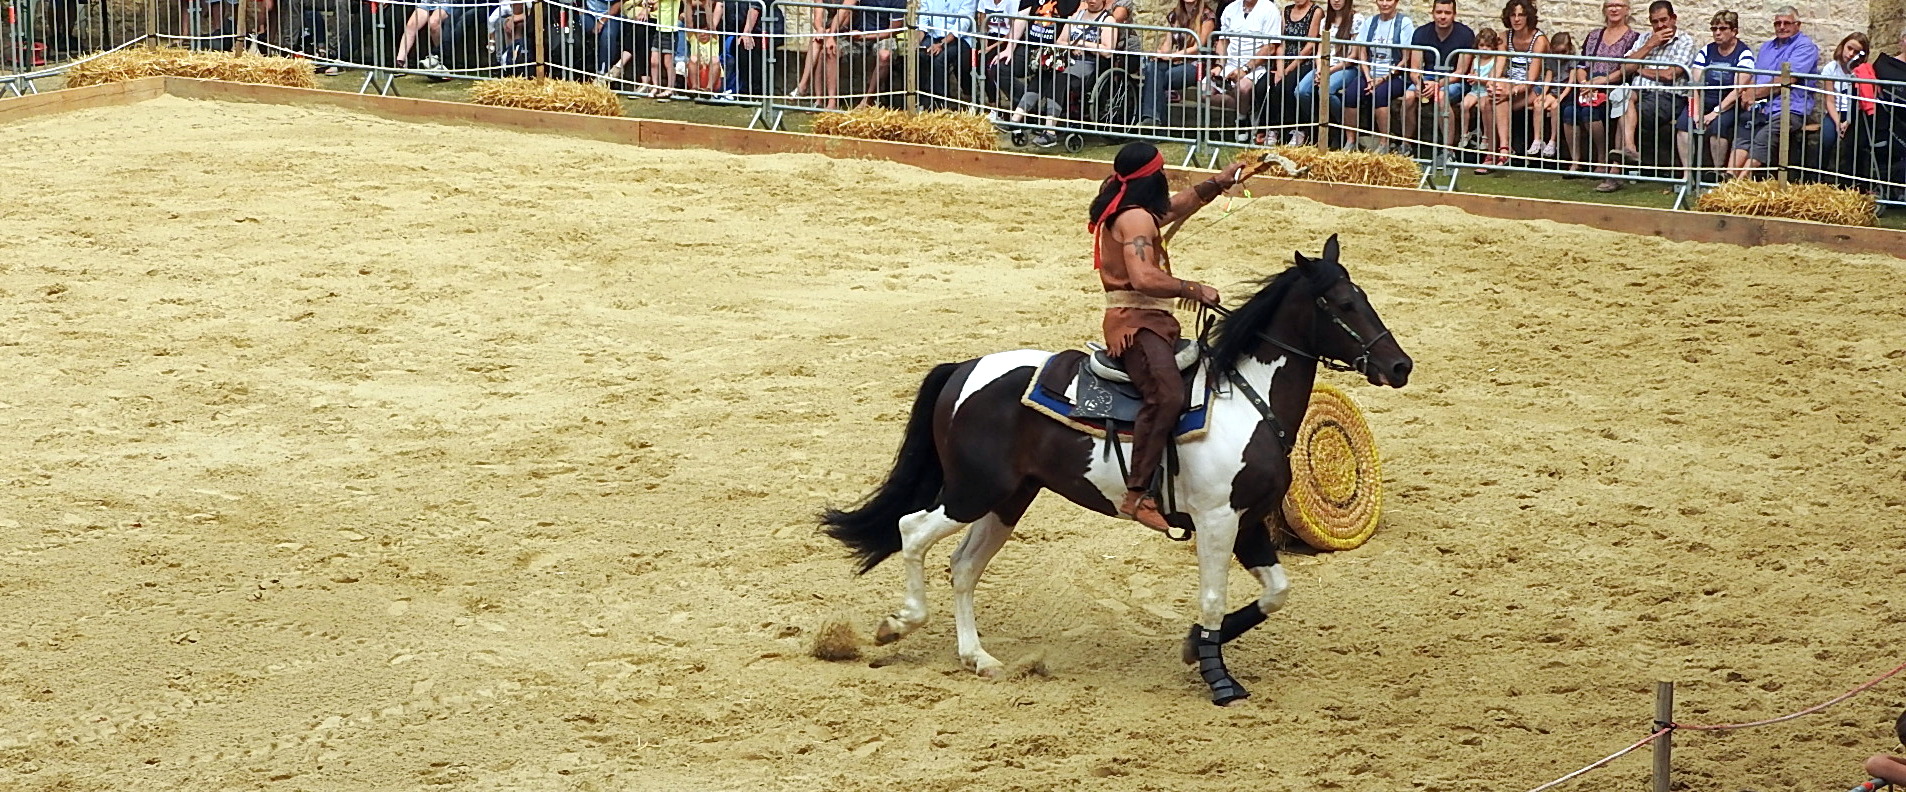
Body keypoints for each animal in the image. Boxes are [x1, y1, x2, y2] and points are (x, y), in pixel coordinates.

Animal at [821, 235, 1412, 705]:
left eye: (1364, 297)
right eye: (1342, 304)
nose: (1400, 365)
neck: (1248, 401)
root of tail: (964, 369)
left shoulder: (1247, 523)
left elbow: (1275, 593)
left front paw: (1194, 646)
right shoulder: (1217, 521)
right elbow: (1214, 599)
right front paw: (1219, 680)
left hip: (1010, 498)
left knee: (964, 566)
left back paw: (978, 657)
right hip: (972, 491)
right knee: (911, 530)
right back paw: (899, 624)